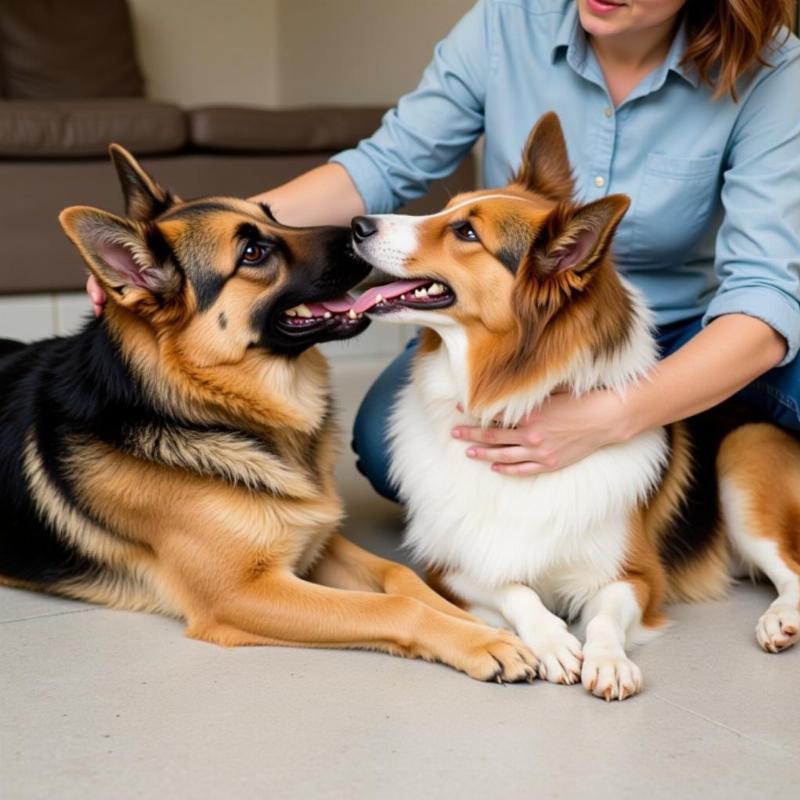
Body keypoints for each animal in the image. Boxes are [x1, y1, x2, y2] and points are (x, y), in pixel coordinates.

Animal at [1, 145, 536, 680]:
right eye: (252, 253)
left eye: (273, 215)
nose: (360, 229)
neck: (208, 406)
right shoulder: (242, 592)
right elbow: (392, 606)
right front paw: (481, 640)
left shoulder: (316, 542)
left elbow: (400, 576)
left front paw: (480, 621)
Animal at [348, 112, 800, 700]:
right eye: (450, 210)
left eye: (466, 232)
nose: (357, 224)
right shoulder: (451, 568)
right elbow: (518, 591)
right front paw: (555, 642)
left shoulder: (635, 575)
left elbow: (605, 614)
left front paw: (606, 660)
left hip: (743, 463)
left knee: (793, 570)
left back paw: (778, 619)